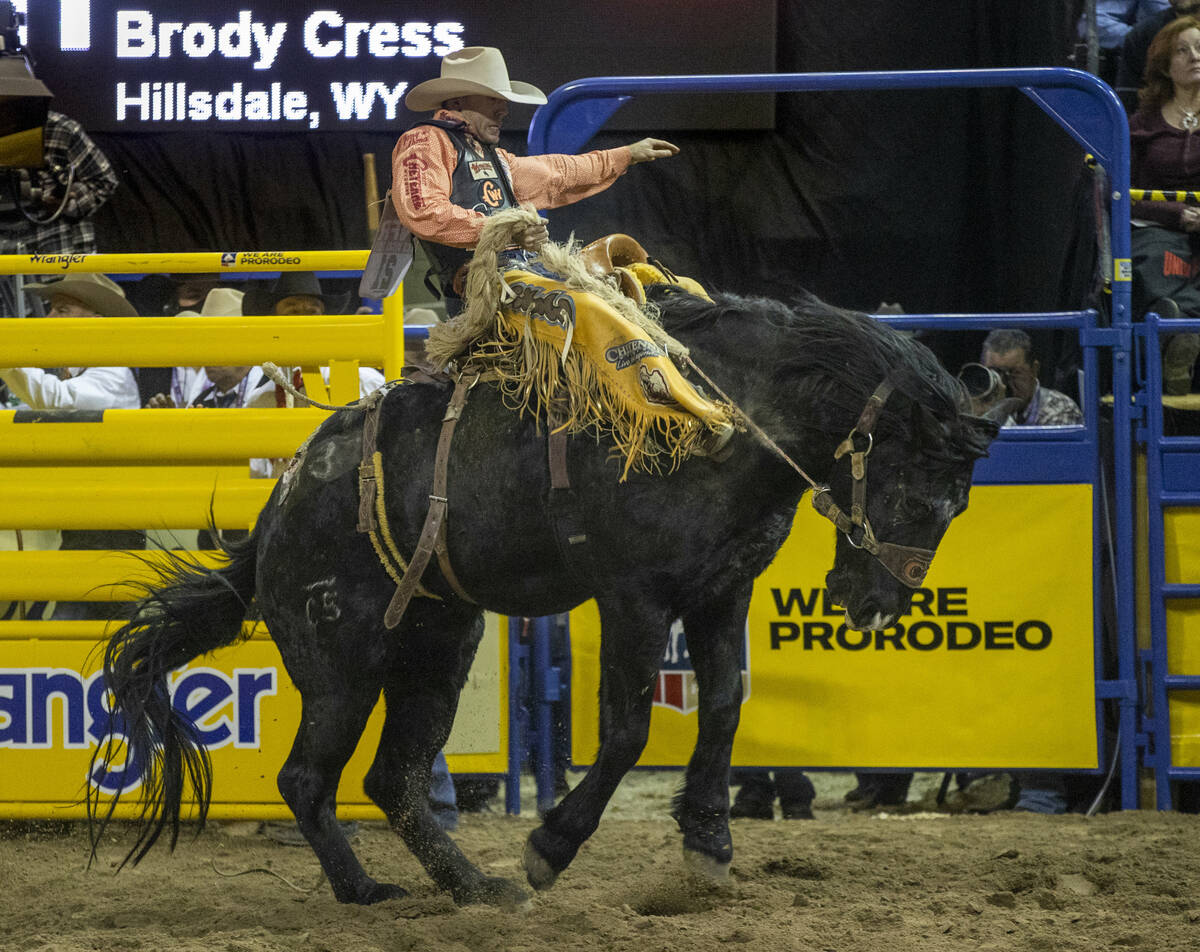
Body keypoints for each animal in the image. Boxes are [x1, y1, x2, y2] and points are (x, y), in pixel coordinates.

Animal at [88, 284, 998, 907]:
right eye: (919, 496)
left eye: (958, 507)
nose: (876, 605)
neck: (716, 422)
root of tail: (278, 509)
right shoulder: (634, 596)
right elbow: (628, 730)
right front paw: (551, 846)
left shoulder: (720, 590)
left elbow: (724, 707)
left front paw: (708, 842)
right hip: (341, 658)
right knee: (309, 779)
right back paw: (367, 890)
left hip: (437, 646)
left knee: (393, 779)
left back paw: (472, 887)